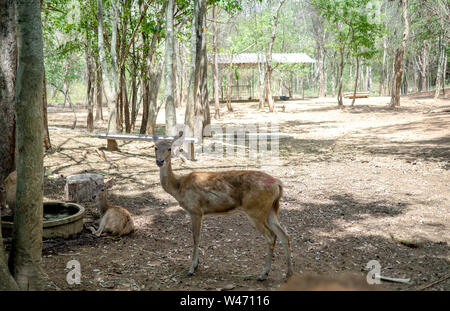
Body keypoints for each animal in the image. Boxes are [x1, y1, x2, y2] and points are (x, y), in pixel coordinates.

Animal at [153, 133, 294, 282]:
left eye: (169, 148)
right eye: (155, 147)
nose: (160, 161)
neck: (179, 187)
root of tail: (278, 184)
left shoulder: (195, 210)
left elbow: (196, 237)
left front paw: (192, 268)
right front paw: (196, 265)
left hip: (256, 210)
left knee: (271, 236)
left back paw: (263, 274)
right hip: (271, 210)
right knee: (284, 235)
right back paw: (289, 273)